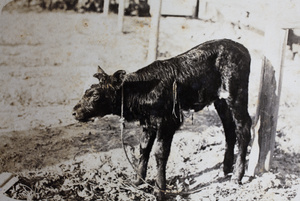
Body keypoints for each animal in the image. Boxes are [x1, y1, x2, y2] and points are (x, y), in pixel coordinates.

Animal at [72, 38, 251, 197]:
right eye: (85, 91)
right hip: (220, 100)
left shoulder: (168, 121)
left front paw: (159, 190)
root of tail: (242, 49)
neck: (142, 91)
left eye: (96, 96)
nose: (74, 111)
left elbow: (160, 152)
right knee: (229, 129)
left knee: (244, 128)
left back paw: (237, 176)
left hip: (236, 93)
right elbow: (143, 148)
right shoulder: (148, 122)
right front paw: (138, 182)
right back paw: (225, 169)